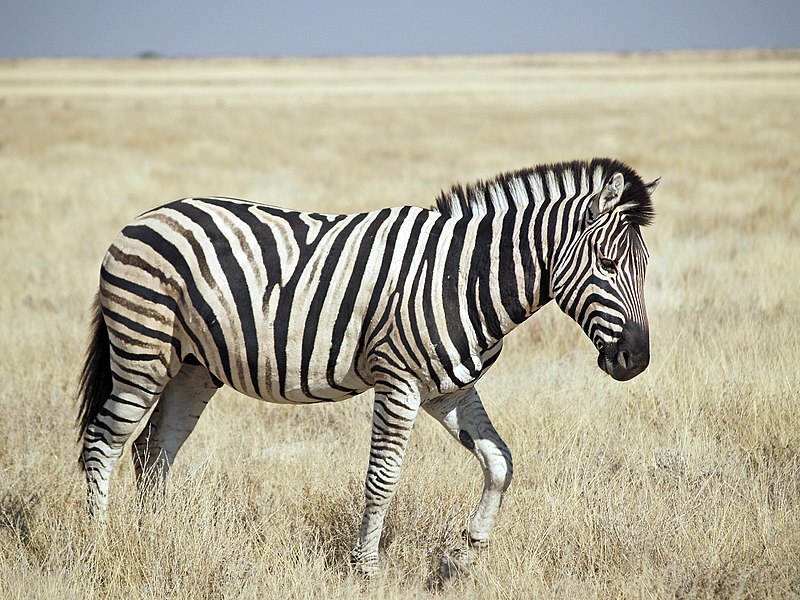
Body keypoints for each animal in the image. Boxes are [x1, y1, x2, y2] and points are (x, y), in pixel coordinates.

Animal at [78, 158, 660, 576]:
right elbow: (382, 478)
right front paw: (367, 568)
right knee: (103, 442)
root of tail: (144, 218)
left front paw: (469, 552)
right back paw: (101, 547)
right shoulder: (397, 379)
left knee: (154, 451)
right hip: (142, 352)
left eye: (646, 267)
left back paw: (156, 539)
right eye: (608, 264)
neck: (466, 278)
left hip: (193, 366)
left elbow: (500, 461)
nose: (637, 362)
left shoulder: (447, 389)